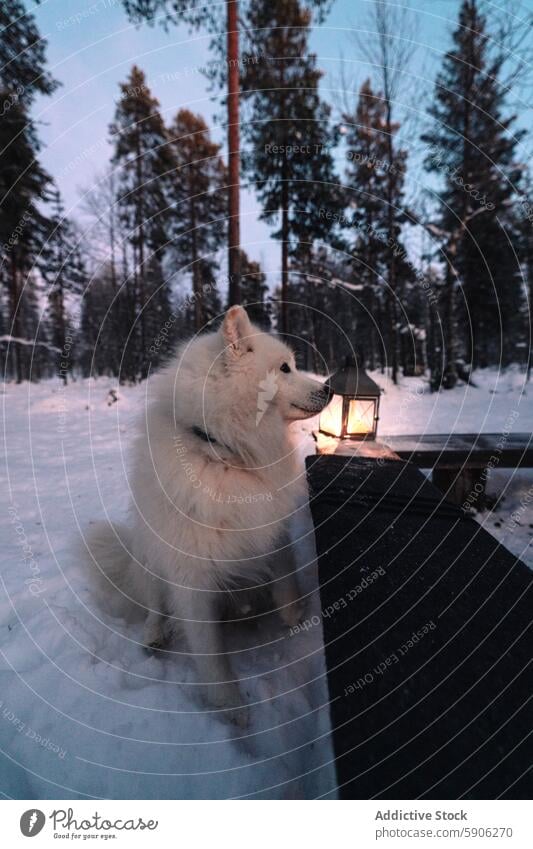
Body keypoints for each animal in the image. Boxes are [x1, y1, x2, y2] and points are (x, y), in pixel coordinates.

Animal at [85, 306, 330, 724]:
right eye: (285, 368)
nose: (329, 389)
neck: (225, 452)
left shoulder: (269, 525)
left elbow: (285, 570)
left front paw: (294, 613)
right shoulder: (191, 577)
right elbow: (210, 653)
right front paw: (231, 708)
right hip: (150, 559)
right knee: (155, 605)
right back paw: (153, 635)